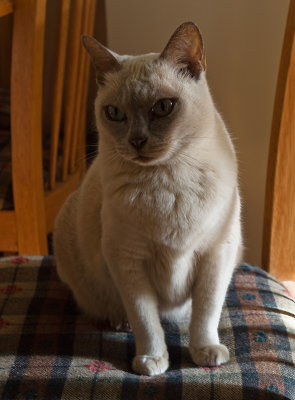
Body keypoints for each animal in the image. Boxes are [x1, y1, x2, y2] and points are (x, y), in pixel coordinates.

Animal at [53, 21, 243, 376]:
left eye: (163, 107)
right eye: (114, 113)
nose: (137, 140)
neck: (166, 179)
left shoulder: (216, 253)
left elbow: (206, 313)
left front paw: (204, 352)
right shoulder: (127, 260)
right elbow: (146, 320)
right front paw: (152, 361)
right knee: (120, 311)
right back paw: (119, 322)